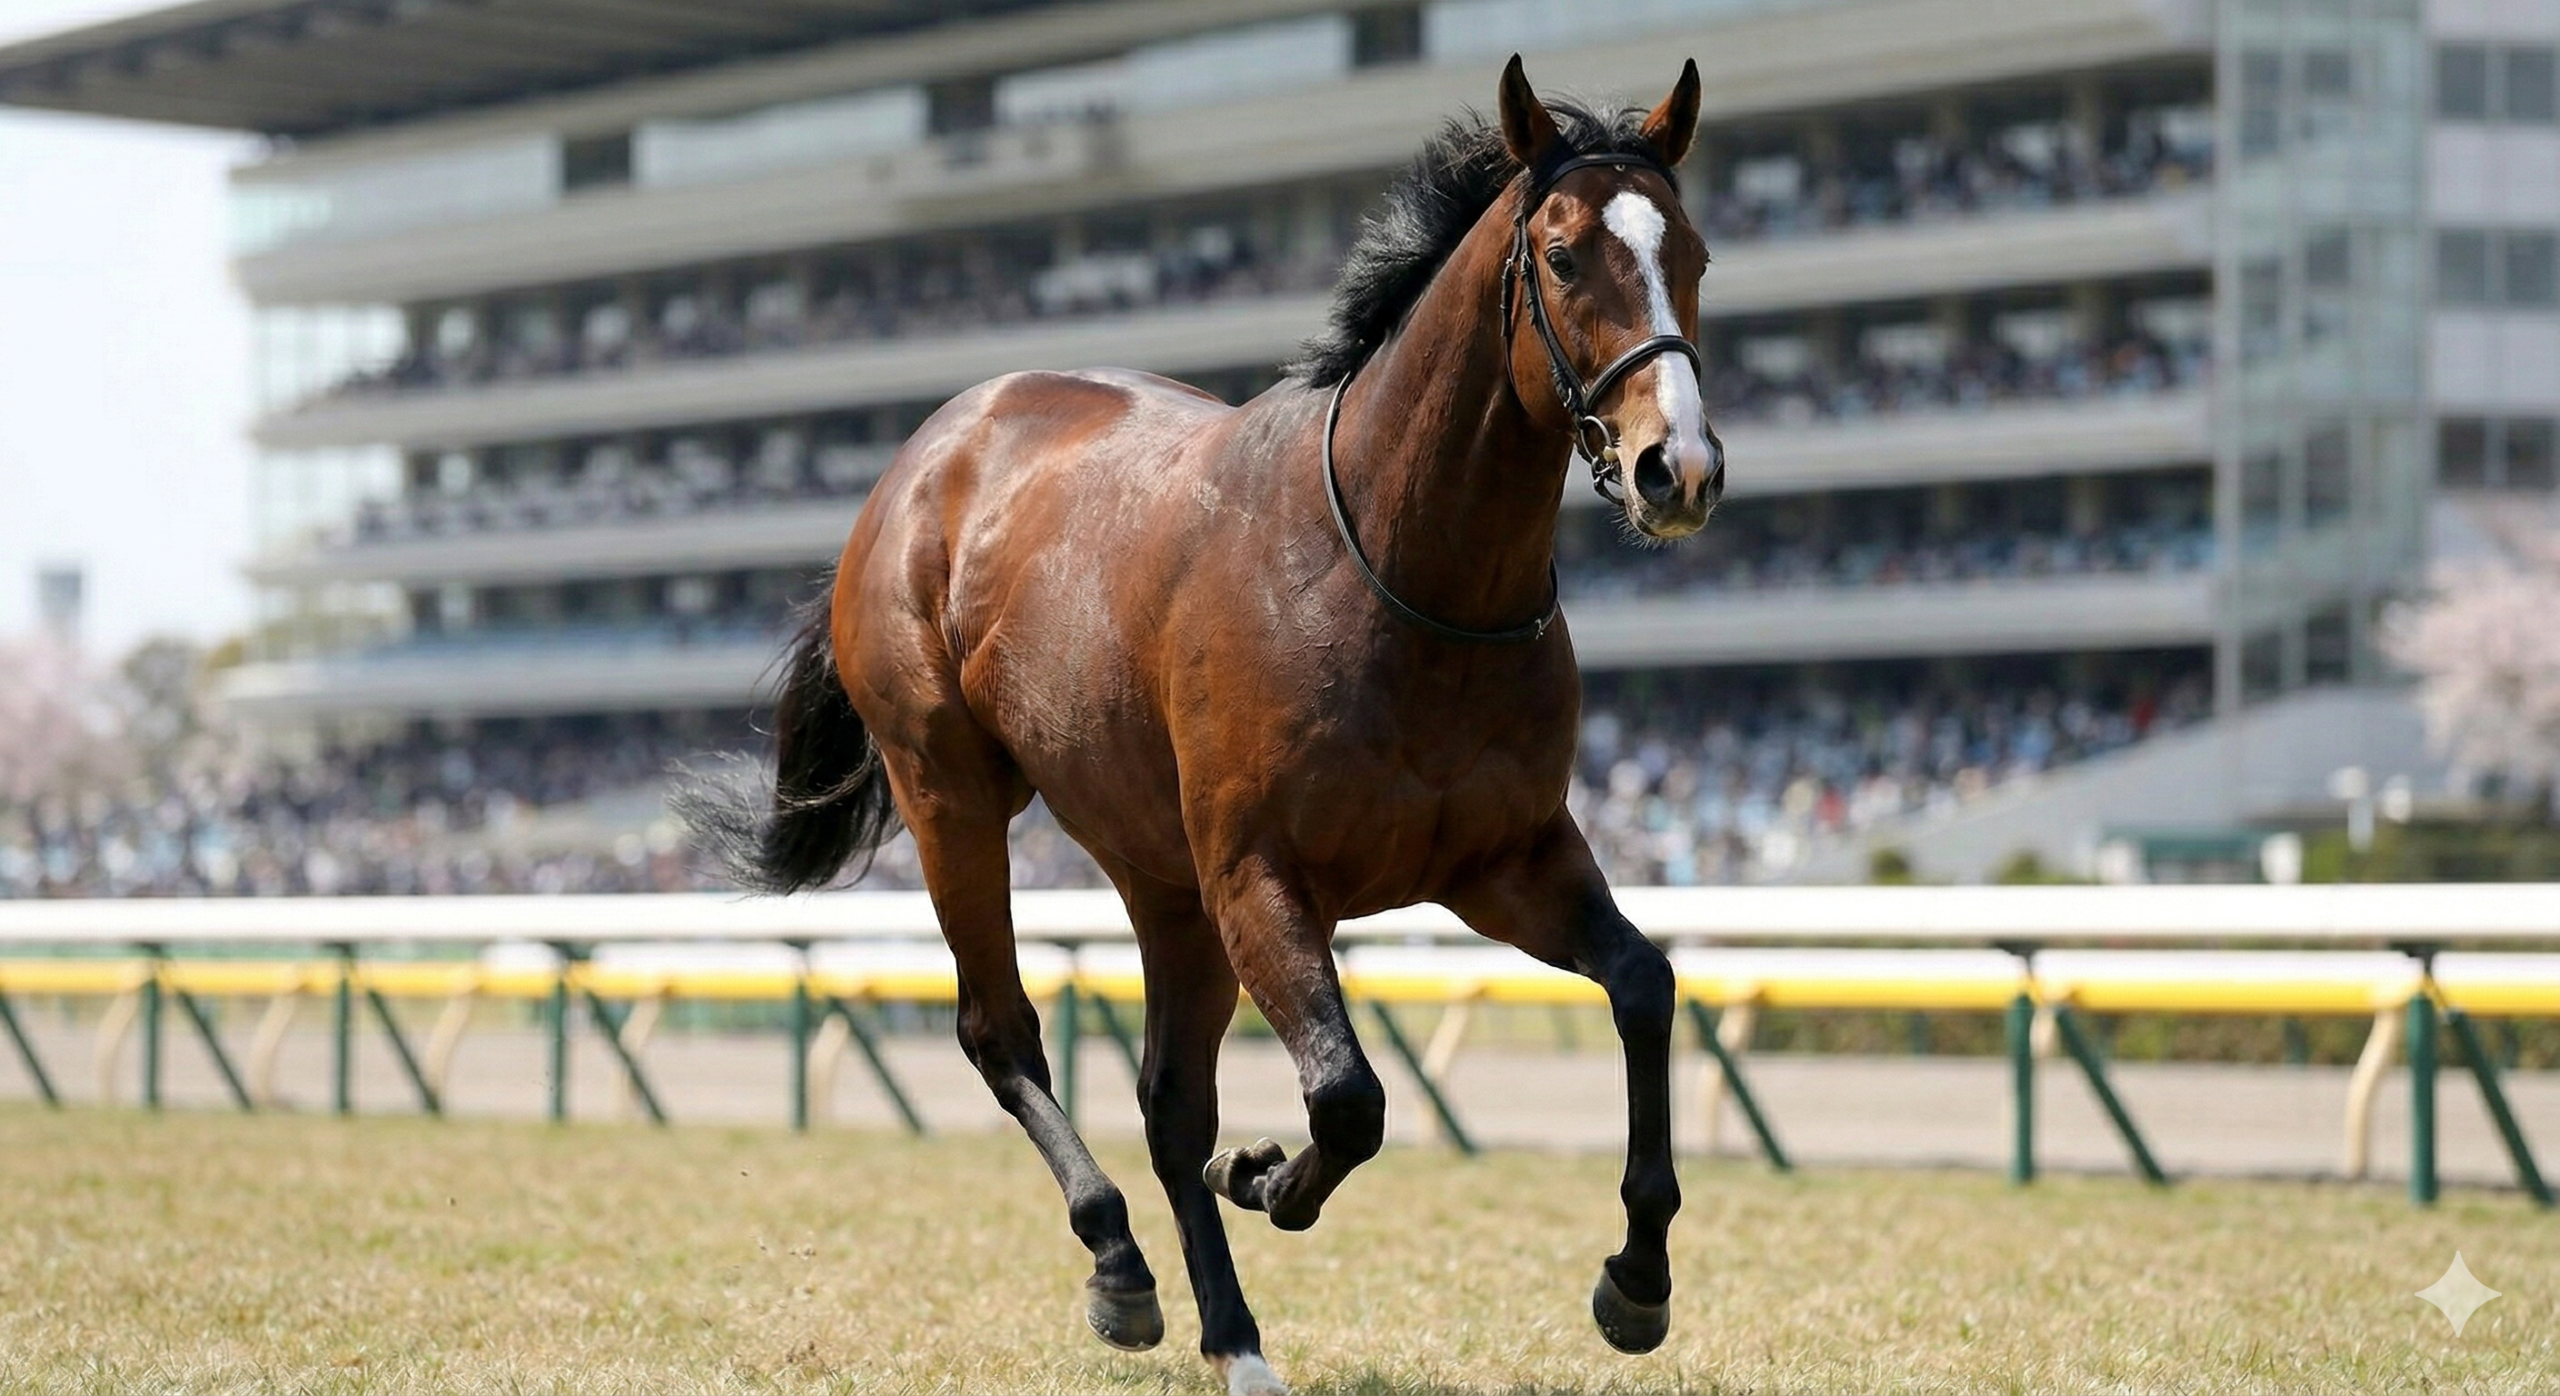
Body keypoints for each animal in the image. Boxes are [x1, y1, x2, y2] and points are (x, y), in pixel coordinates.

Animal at [682, 56, 1722, 1396]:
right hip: (952, 795)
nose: (1675, 468)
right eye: (1560, 254)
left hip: (1159, 880)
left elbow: (1643, 983)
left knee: (1168, 1097)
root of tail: (922, 458)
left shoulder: (1503, 860)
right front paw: (1268, 1178)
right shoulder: (1257, 875)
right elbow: (1347, 1097)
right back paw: (1124, 1263)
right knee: (1001, 1030)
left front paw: (1635, 1279)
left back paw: (1225, 1323)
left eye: (1690, 250)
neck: (1400, 572)